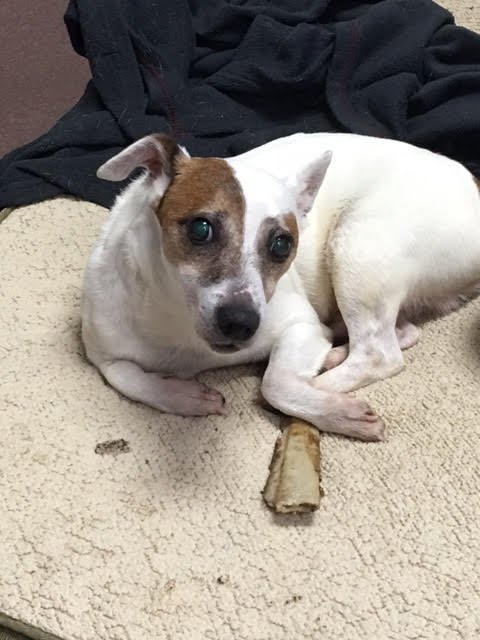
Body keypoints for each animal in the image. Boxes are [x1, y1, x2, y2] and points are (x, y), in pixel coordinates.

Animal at [81, 132, 480, 442]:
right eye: (200, 228)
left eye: (281, 244)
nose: (240, 323)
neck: (180, 323)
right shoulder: (103, 353)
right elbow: (127, 377)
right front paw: (185, 397)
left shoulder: (299, 325)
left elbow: (274, 385)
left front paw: (334, 411)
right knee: (402, 332)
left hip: (358, 246)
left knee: (378, 353)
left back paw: (324, 381)